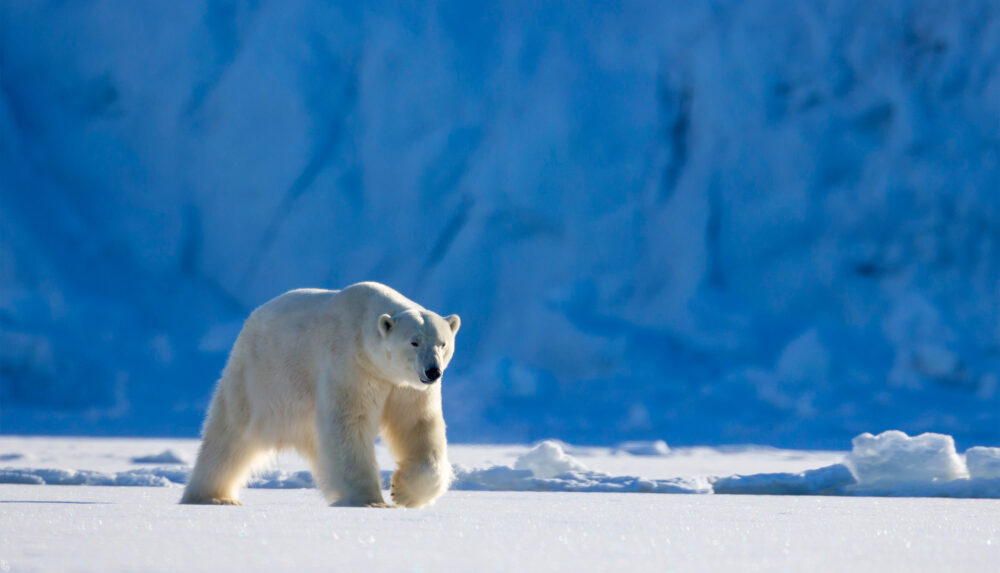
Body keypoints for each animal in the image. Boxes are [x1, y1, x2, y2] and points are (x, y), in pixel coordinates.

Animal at [181, 280, 460, 508]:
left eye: (442, 343)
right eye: (414, 342)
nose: (433, 371)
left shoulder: (405, 387)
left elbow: (417, 425)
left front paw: (405, 492)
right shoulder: (351, 365)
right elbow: (349, 422)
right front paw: (370, 501)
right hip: (260, 378)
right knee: (231, 433)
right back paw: (213, 496)